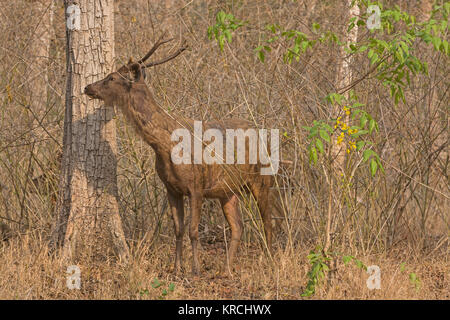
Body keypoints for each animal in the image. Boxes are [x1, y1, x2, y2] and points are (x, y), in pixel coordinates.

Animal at [83, 35, 278, 276]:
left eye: (111, 77)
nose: (87, 87)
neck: (165, 147)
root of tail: (263, 135)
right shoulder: (171, 188)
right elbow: (178, 229)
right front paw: (177, 268)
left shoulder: (196, 185)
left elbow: (193, 230)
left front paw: (195, 269)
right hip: (227, 191)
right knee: (238, 227)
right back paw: (227, 269)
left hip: (262, 178)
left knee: (268, 222)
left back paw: (269, 261)